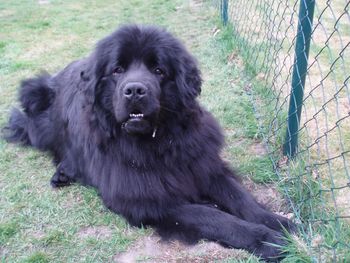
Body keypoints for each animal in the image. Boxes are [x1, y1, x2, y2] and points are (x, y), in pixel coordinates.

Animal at [4, 24, 296, 262]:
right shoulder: (145, 199)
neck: (157, 144)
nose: (134, 90)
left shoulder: (202, 165)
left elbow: (240, 197)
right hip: (38, 113)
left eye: (159, 70)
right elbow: (213, 216)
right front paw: (265, 239)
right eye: (117, 70)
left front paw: (278, 222)